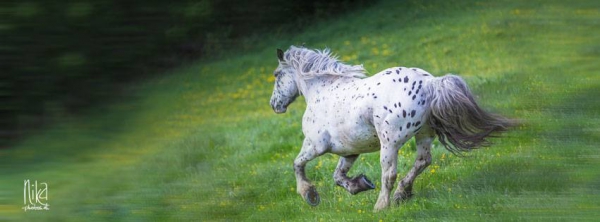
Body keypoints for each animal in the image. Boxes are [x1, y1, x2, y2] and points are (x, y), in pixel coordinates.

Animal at [270, 46, 512, 211]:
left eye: (276, 75)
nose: (274, 105)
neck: (321, 91)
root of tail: (430, 83)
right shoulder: (350, 151)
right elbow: (338, 176)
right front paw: (360, 184)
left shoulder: (315, 146)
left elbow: (297, 164)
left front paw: (309, 195)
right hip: (424, 135)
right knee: (422, 161)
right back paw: (401, 195)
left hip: (390, 143)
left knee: (389, 174)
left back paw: (381, 206)